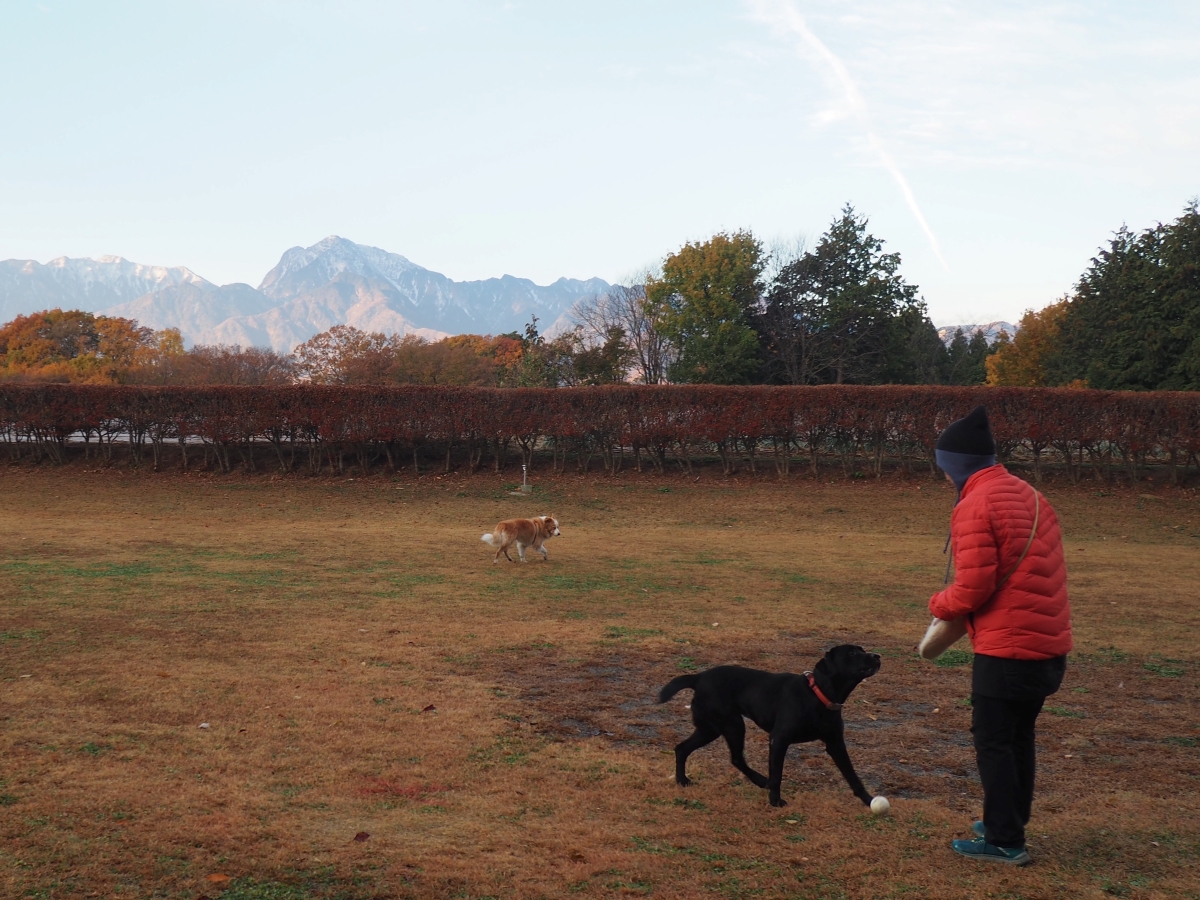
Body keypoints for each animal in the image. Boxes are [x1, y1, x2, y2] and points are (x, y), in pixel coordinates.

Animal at [657, 643, 883, 806]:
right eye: (852, 652)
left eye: (863, 649)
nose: (877, 656)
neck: (817, 694)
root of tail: (698, 677)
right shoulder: (779, 739)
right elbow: (777, 774)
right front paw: (775, 801)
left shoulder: (835, 744)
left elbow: (853, 776)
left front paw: (869, 800)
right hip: (732, 725)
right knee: (736, 758)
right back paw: (760, 780)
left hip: (710, 729)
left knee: (683, 748)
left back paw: (682, 780)